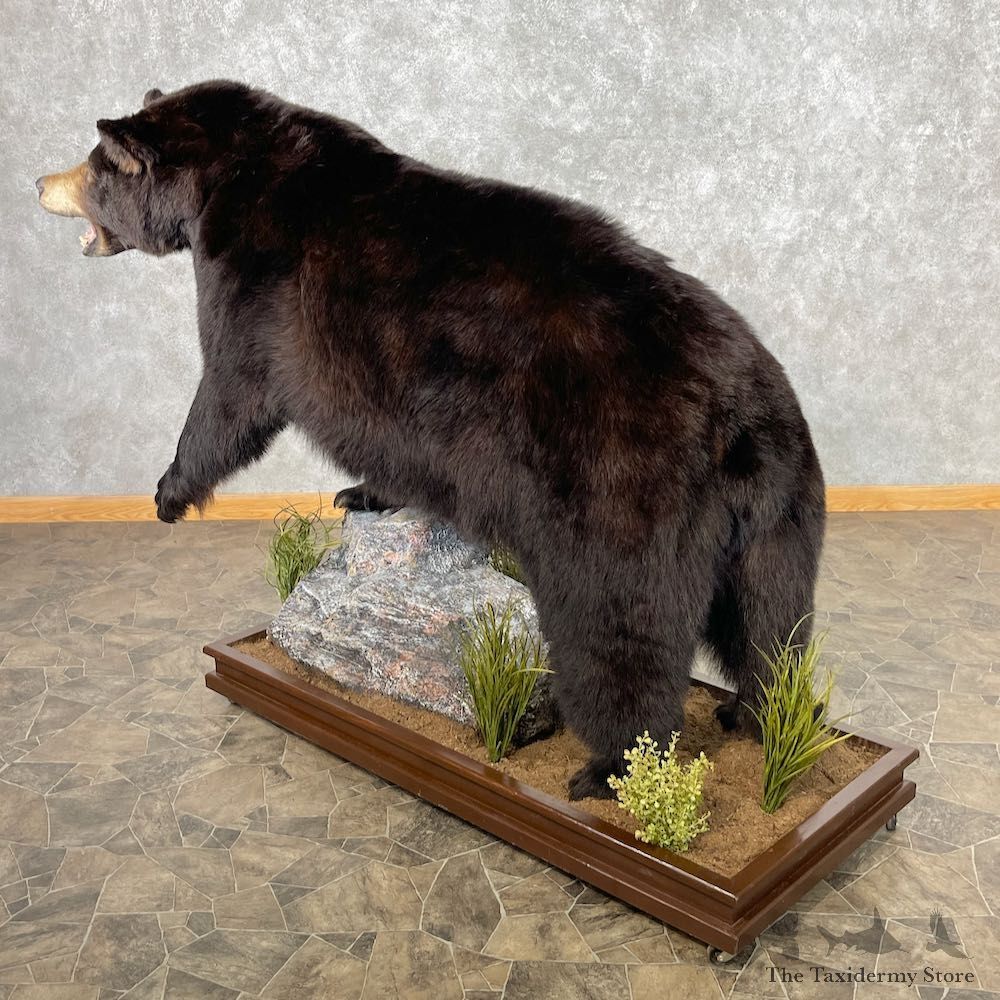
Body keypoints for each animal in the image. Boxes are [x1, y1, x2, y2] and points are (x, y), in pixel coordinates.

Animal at [36, 80, 825, 799]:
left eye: (94, 166)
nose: (40, 181)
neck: (227, 176)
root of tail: (738, 411)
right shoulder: (387, 397)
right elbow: (384, 447)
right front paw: (364, 494)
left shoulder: (252, 276)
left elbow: (231, 390)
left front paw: (169, 491)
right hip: (778, 513)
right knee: (772, 624)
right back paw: (755, 710)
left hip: (616, 491)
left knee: (620, 626)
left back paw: (610, 768)